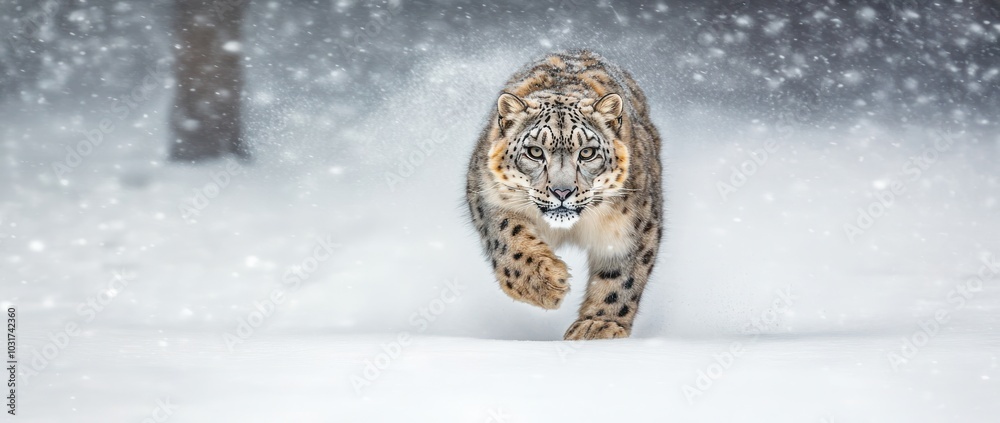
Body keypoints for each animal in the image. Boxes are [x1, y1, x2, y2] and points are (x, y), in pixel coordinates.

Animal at [465, 50, 664, 340]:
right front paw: (544, 283)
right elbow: (507, 238)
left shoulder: (634, 224)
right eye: (535, 152)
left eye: (587, 152)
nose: (562, 191)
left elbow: (622, 275)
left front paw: (599, 325)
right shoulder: (489, 197)